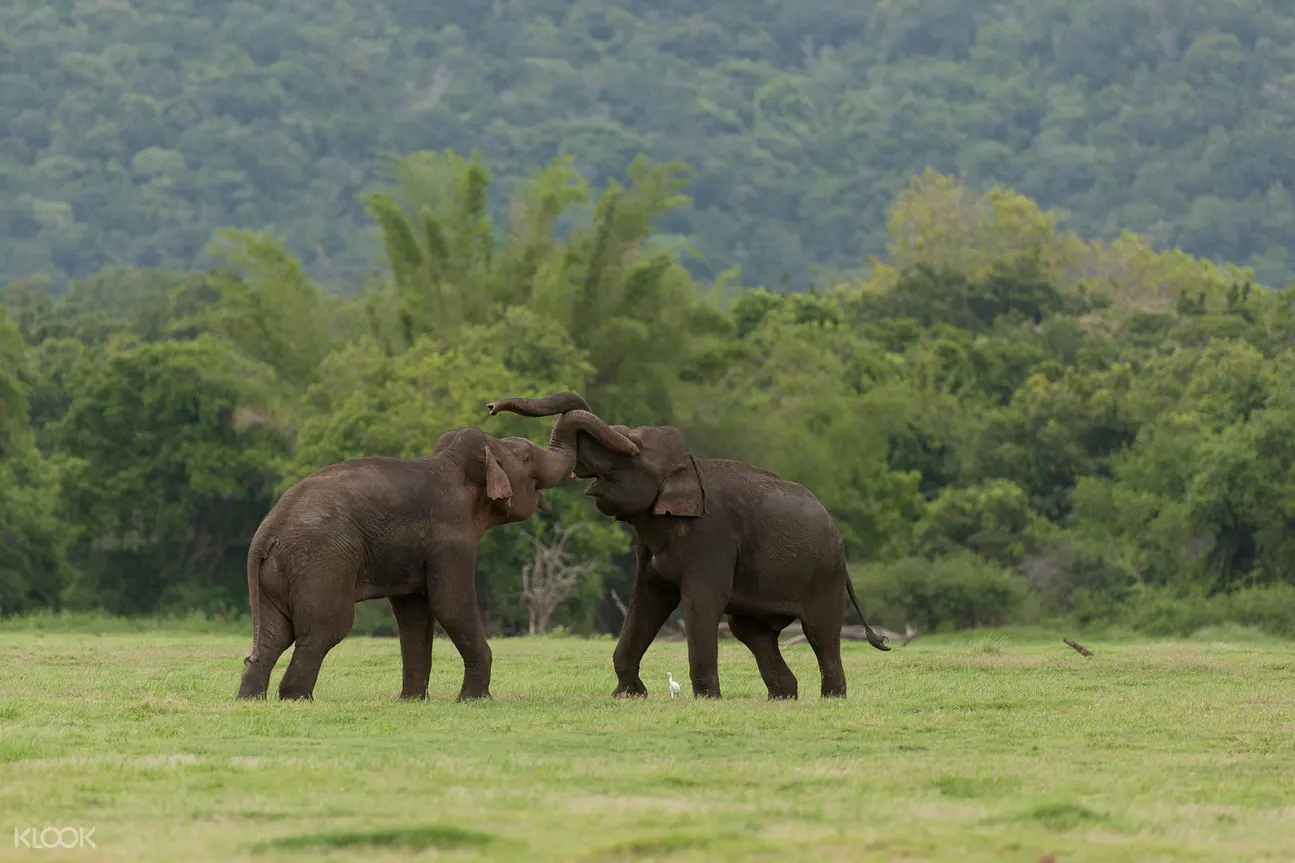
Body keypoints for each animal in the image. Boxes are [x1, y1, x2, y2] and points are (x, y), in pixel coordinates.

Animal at [236, 408, 638, 702]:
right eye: (526, 455)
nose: (633, 449)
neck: (452, 462)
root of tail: (265, 536)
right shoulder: (451, 537)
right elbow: (451, 604)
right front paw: (474, 700)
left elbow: (415, 612)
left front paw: (413, 701)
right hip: (320, 564)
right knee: (324, 629)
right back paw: (295, 699)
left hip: (278, 574)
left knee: (274, 635)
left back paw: (252, 698)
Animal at [485, 392, 890, 701]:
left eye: (632, 450)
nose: (490, 407)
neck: (687, 466)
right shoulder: (648, 546)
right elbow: (648, 601)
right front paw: (629, 695)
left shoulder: (710, 539)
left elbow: (699, 603)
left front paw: (707, 699)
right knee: (753, 632)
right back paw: (784, 696)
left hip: (824, 574)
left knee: (820, 632)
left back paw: (831, 698)